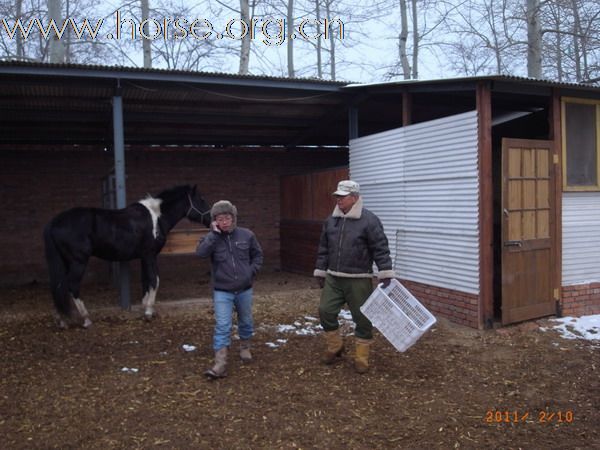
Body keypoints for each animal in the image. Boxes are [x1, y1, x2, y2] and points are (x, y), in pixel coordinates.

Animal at [42, 185, 211, 328]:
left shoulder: (145, 257)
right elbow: (154, 280)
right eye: (201, 199)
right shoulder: (149, 255)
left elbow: (146, 281)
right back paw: (86, 319)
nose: (211, 219)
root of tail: (54, 222)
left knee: (58, 287)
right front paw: (148, 312)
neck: (156, 217)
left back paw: (62, 320)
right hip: (78, 262)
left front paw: (146, 308)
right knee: (71, 285)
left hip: (65, 262)